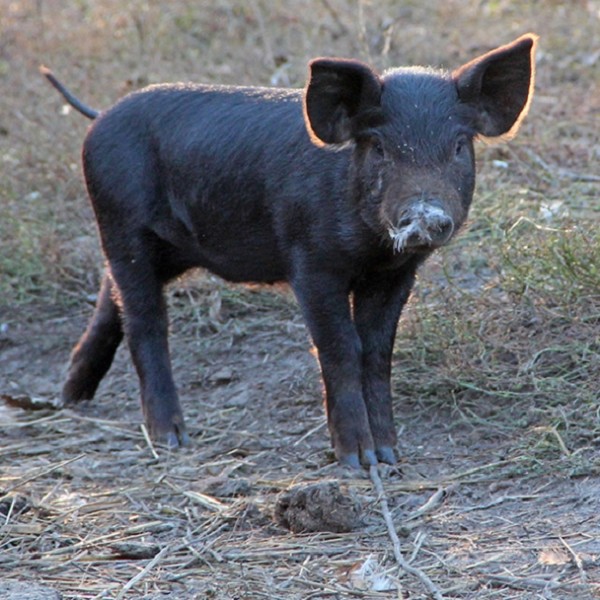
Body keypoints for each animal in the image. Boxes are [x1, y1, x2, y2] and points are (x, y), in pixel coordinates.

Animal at [43, 34, 540, 468]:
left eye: (457, 145)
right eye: (379, 147)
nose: (425, 215)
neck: (371, 251)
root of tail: (101, 116)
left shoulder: (395, 273)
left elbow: (378, 351)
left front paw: (391, 456)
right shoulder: (312, 263)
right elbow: (340, 347)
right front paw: (358, 462)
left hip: (160, 248)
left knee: (111, 299)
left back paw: (69, 398)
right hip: (121, 224)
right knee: (145, 320)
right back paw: (170, 438)